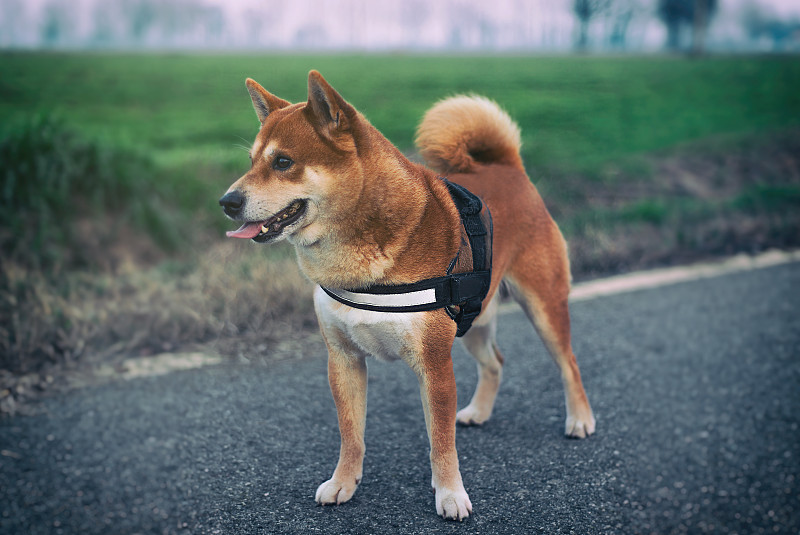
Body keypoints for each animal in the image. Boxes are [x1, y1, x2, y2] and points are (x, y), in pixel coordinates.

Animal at [219, 70, 592, 520]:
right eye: (252, 161)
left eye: (283, 162)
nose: (227, 202)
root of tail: (508, 169)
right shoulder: (343, 359)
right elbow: (351, 435)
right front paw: (344, 483)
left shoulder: (434, 363)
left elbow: (440, 443)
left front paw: (450, 495)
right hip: (475, 319)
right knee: (495, 363)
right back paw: (479, 412)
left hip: (543, 307)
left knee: (568, 363)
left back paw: (580, 420)